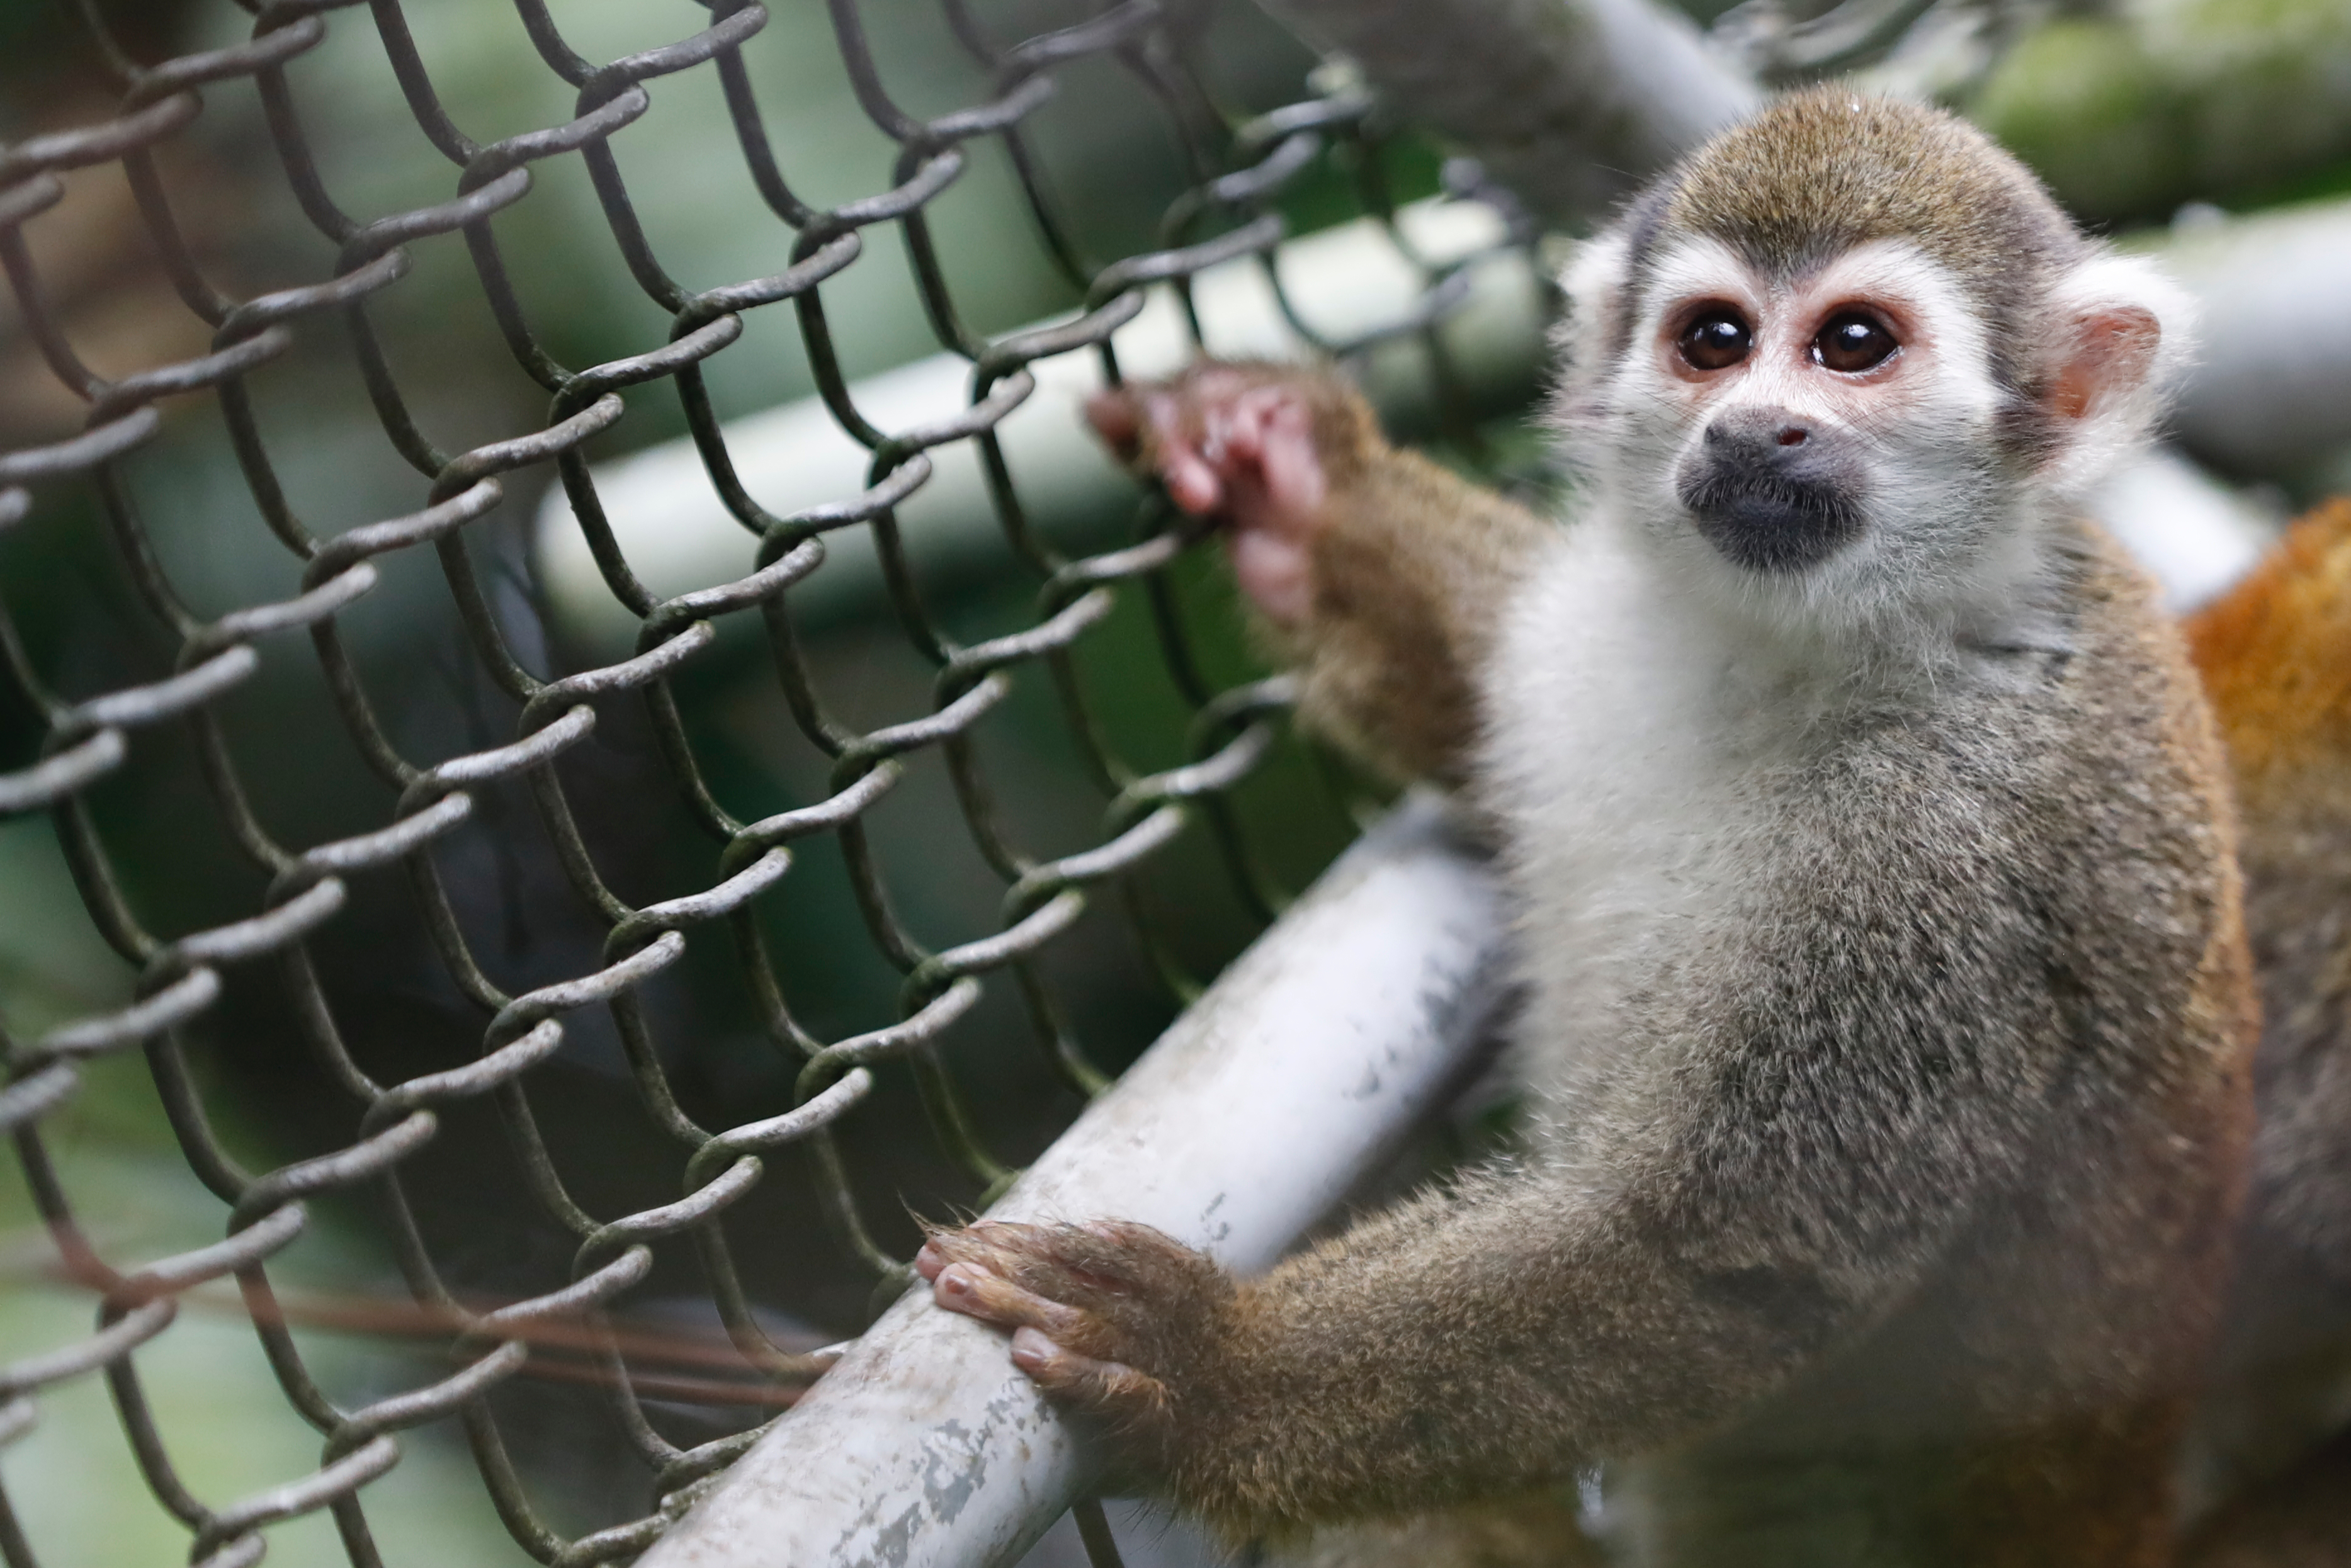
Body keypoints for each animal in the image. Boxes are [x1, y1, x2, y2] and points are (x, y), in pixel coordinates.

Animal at [918, 89, 2259, 1566]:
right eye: (1713, 341)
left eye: (1852, 345)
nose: (1752, 430)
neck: (1841, 644)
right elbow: (1475, 708)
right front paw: (1290, 481)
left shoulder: (1947, 844)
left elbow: (1717, 1256)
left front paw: (1206, 1366)